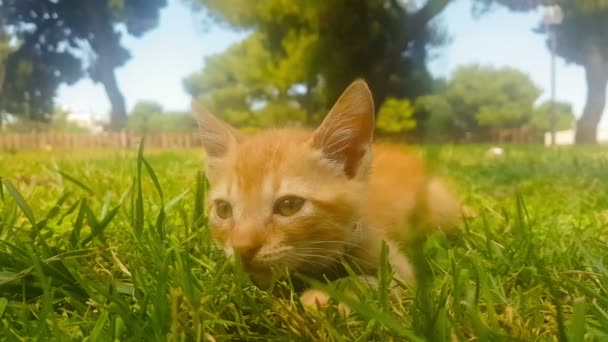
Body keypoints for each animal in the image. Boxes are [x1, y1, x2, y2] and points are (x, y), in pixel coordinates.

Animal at [196, 81, 460, 308]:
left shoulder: (402, 273)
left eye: (289, 205)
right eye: (223, 209)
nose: (241, 249)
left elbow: (375, 284)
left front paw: (323, 296)